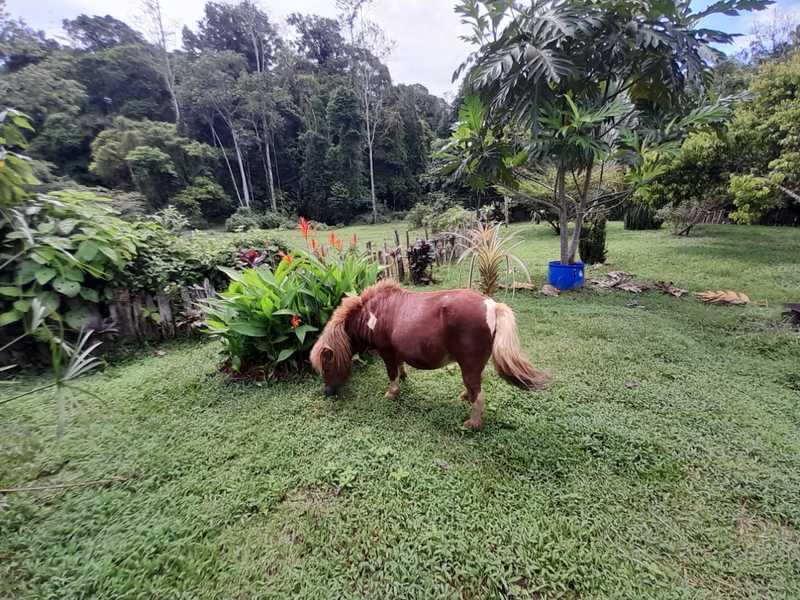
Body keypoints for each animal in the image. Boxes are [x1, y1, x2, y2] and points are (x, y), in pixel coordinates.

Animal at [310, 279, 551, 430]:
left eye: (327, 366)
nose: (327, 392)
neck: (372, 313)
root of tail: (491, 305)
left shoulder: (386, 351)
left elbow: (391, 373)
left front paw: (392, 393)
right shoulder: (396, 350)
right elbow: (399, 366)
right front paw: (403, 377)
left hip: (469, 364)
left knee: (479, 394)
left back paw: (473, 424)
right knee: (475, 388)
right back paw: (466, 397)